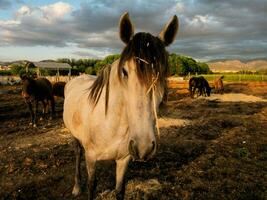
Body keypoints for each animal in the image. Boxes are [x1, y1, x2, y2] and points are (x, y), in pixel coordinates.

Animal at [63, 12, 179, 200]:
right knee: (77, 154)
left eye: (163, 74)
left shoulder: (124, 160)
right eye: (124, 71)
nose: (143, 147)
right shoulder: (91, 157)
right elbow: (92, 186)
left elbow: (119, 190)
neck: (110, 124)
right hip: (75, 138)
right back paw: (76, 187)